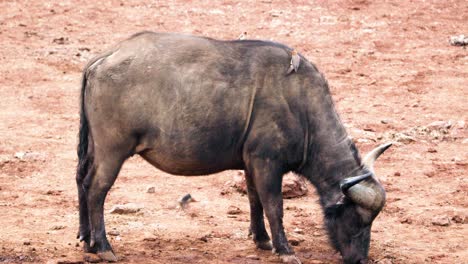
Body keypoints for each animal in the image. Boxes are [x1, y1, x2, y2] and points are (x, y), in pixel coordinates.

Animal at [76, 32, 392, 262]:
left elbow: (254, 200)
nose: (360, 259)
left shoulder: (252, 164)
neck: (302, 107)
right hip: (112, 151)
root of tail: (103, 58)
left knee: (81, 181)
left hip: (92, 149)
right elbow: (274, 206)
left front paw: (262, 239)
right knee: (96, 189)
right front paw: (285, 250)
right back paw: (103, 246)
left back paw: (86, 239)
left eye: (372, 221)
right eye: (358, 219)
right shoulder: (267, 163)